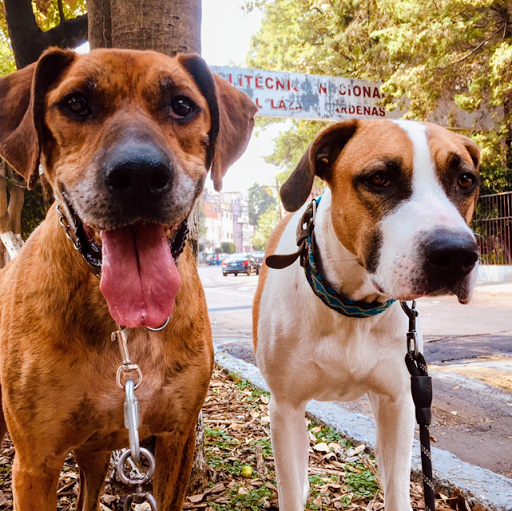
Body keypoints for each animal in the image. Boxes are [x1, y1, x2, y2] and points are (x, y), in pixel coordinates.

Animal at [0, 49, 258, 511]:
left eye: (182, 105)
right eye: (75, 103)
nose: (139, 174)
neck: (123, 330)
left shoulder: (176, 439)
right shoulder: (34, 464)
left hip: (96, 451)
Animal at [254, 118, 482, 510]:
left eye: (465, 180)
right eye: (379, 178)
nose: (456, 253)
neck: (352, 308)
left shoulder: (399, 402)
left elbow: (397, 489)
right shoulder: (284, 408)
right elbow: (290, 488)